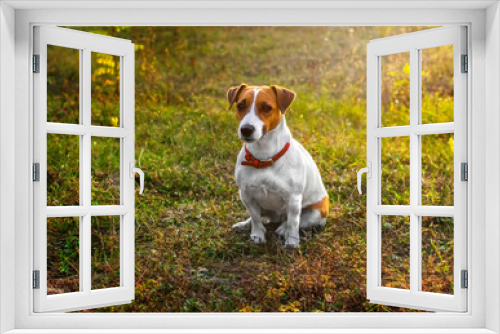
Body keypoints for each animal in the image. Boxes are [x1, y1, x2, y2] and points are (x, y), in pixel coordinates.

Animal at [227, 83, 328, 248]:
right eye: (240, 105)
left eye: (266, 107)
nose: (246, 129)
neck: (263, 158)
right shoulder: (246, 195)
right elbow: (255, 218)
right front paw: (257, 234)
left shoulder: (293, 199)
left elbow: (293, 223)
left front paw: (292, 242)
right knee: (259, 217)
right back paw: (245, 224)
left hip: (316, 213)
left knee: (297, 221)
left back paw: (283, 229)